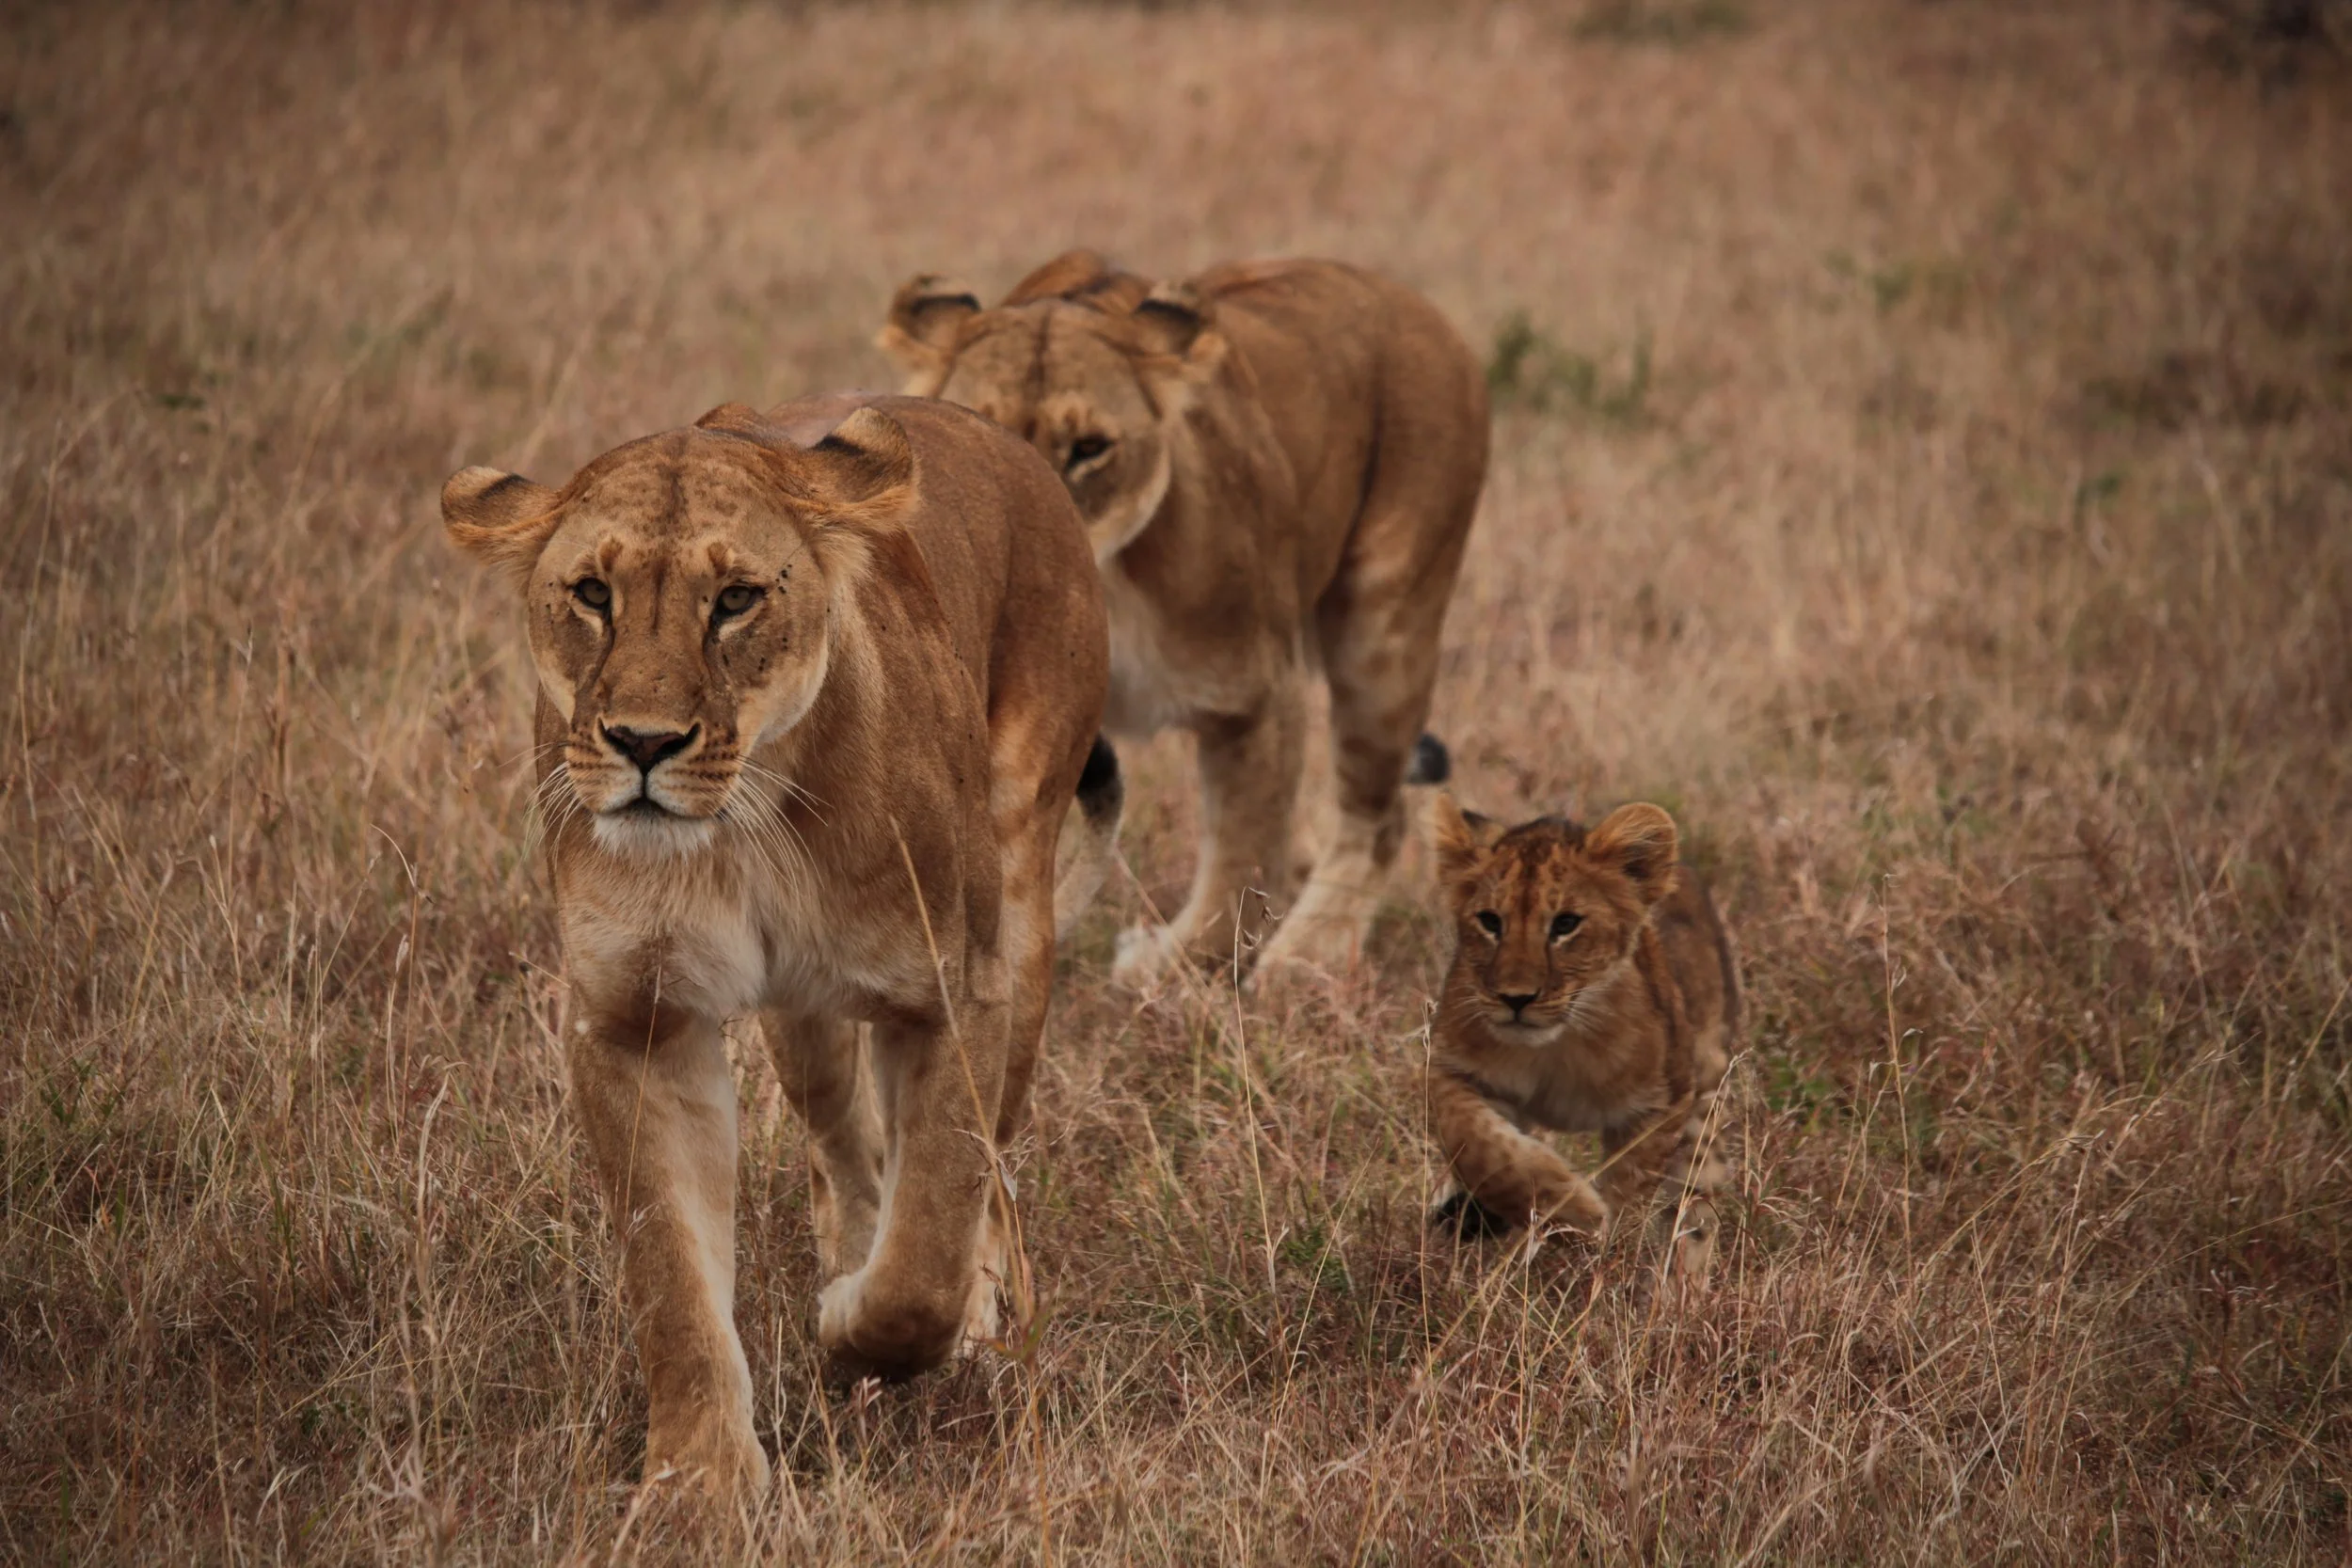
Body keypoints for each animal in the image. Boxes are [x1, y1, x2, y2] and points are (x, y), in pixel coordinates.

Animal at [441, 391, 1116, 1500]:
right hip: (804, 1023)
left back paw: (980, 1318)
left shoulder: (958, 987)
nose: (642, 743)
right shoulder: (634, 1021)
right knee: (846, 1150)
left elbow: (929, 1238)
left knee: (983, 1168)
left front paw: (866, 1333)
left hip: (1023, 913)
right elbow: (670, 1276)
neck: (741, 833)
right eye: (591, 593)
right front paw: (699, 1489)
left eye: (736, 599)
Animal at [879, 251, 1487, 982]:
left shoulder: (1257, 695)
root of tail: (1414, 304)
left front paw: (1172, 968)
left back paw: (1302, 959)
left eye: (1090, 447)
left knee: (1379, 812)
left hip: (1384, 633)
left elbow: (1238, 866)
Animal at [1422, 793, 1737, 1280]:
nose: (1516, 998)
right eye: (1491, 921)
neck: (1555, 1048)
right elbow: (1480, 1148)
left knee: (1696, 1214)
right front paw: (1574, 1213)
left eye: (1566, 924)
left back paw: (1679, 1294)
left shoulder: (1662, 1101)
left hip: (1706, 1098)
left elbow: (1631, 1194)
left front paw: (1603, 1249)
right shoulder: (1453, 1068)